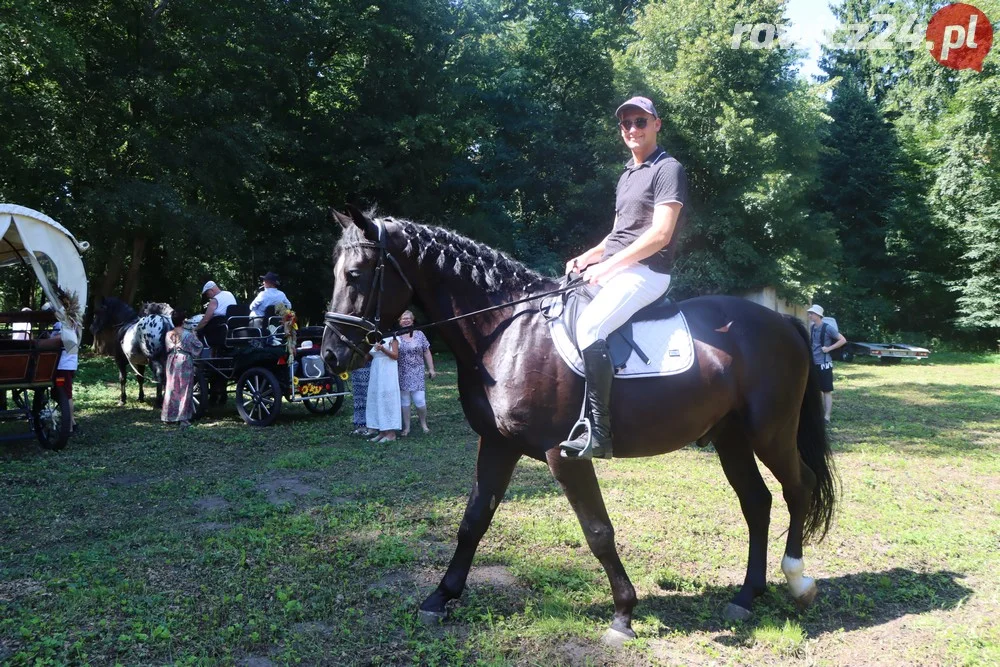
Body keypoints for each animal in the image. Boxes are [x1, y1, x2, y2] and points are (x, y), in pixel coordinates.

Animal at [320, 207, 836, 640]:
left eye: (355, 274)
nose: (331, 355)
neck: (508, 332)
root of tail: (783, 323)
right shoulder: (497, 443)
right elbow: (473, 521)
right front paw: (439, 597)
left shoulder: (561, 453)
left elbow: (598, 531)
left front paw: (623, 614)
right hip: (731, 437)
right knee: (758, 502)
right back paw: (747, 596)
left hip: (770, 432)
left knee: (799, 487)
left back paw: (798, 581)